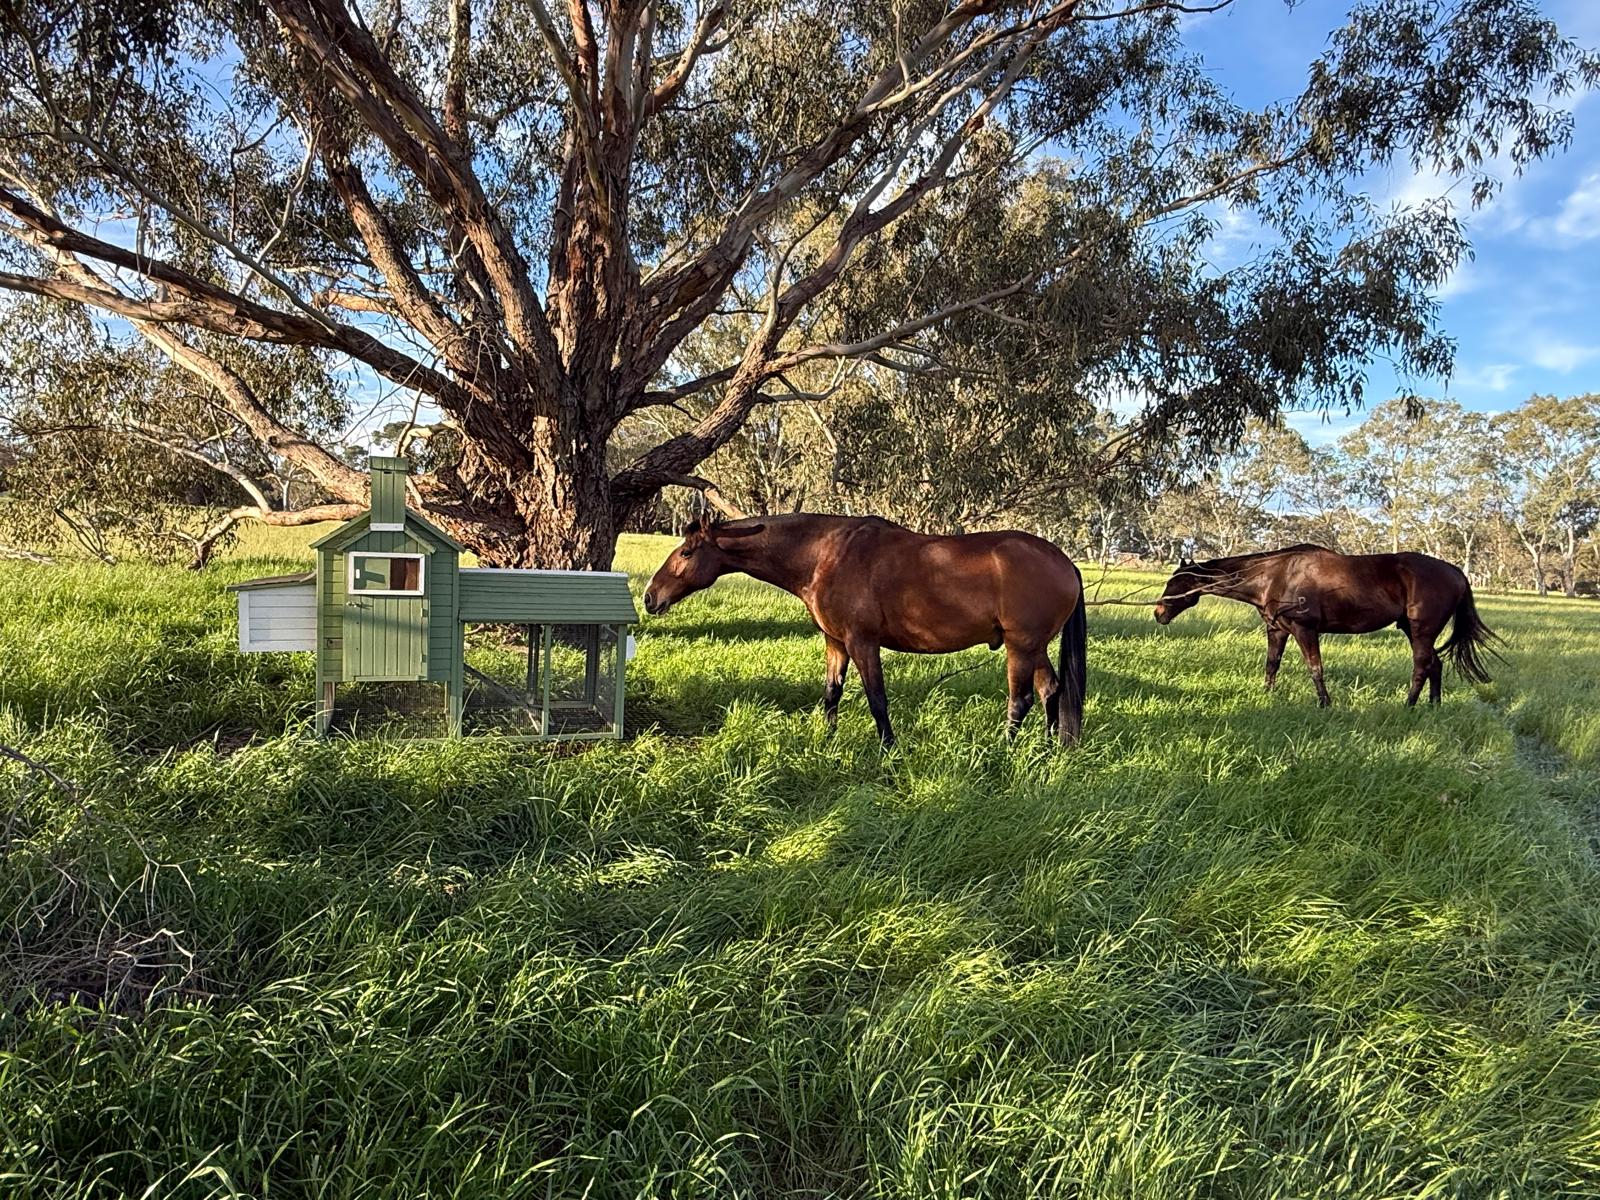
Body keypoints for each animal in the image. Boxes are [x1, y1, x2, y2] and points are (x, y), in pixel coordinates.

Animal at [643, 514, 1087, 748]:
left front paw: (888, 749)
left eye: (686, 552)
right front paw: (827, 741)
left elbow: (877, 699)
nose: (650, 597)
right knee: (1050, 690)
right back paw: (1049, 748)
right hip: (1035, 647)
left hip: (1020, 647)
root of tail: (1065, 561)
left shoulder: (862, 642)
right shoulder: (836, 642)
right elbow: (831, 694)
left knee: (1021, 699)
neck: (825, 554)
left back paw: (1003, 750)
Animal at [1152, 544, 1499, 706]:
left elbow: (1315, 668)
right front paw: (1267, 695)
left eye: (1177, 582)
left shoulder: (1305, 630)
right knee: (1434, 666)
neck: (1276, 575)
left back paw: (1409, 705)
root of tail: (1456, 572)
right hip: (1414, 632)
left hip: (1420, 631)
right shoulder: (1277, 630)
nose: (1158, 612)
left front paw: (1325, 703)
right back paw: (1432, 706)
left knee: (1421, 668)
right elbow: (1271, 664)